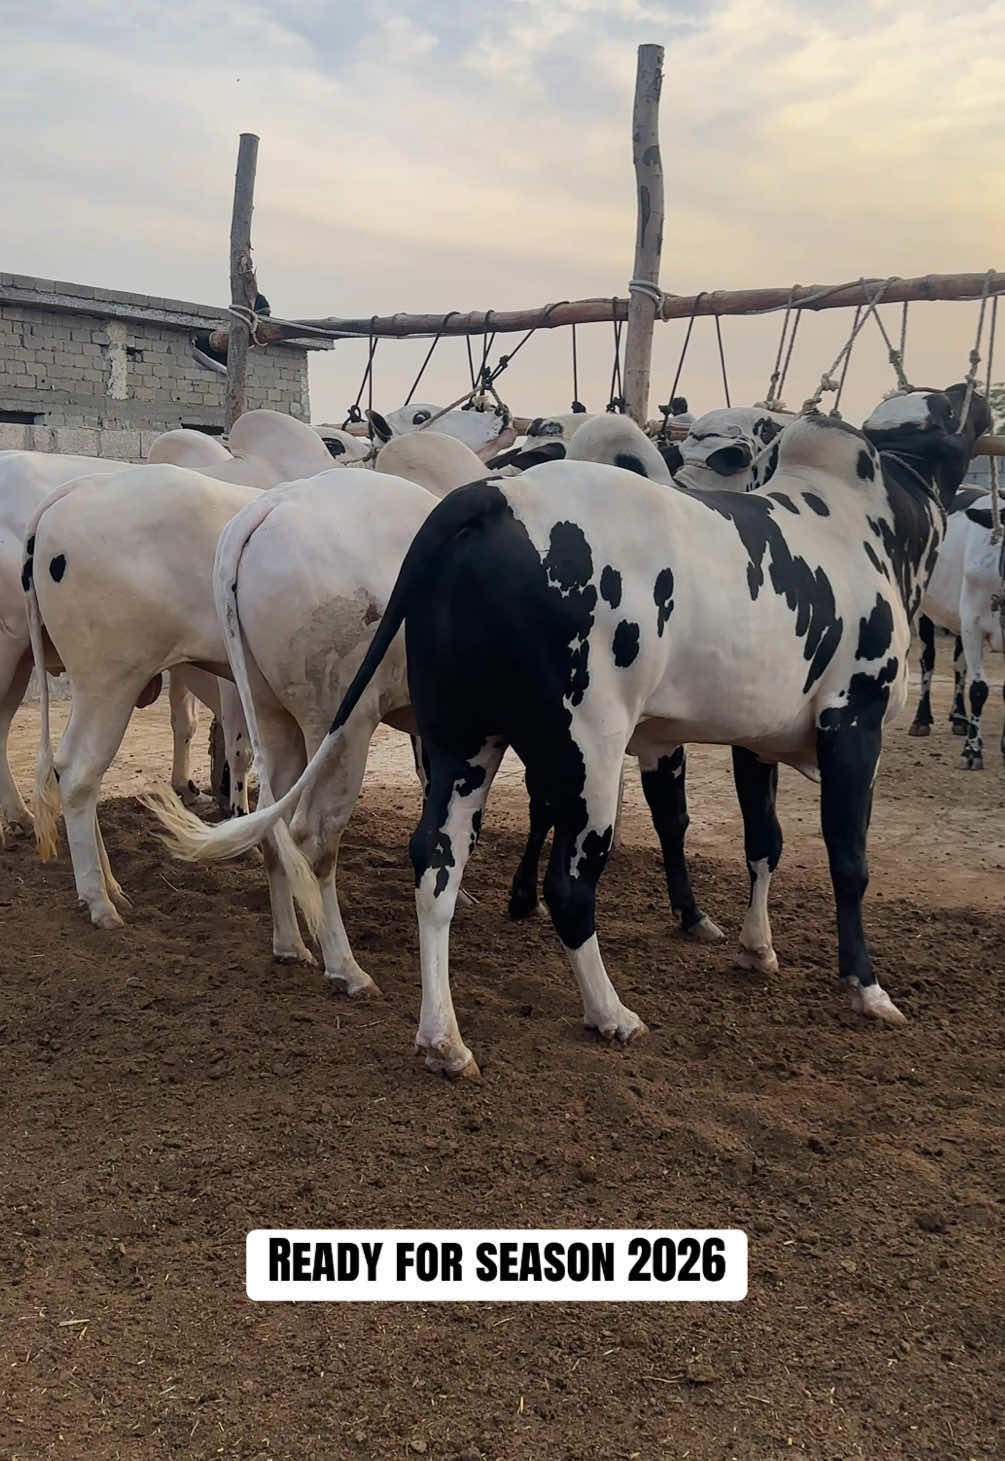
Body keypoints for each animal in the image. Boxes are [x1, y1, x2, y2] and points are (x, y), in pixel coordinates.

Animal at [142, 384, 985, 1076]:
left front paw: (756, 945)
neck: (859, 524)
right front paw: (864, 987)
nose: (972, 399)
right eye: (949, 414)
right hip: (532, 739)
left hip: (431, 733)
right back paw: (598, 1009)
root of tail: (481, 499)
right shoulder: (852, 725)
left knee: (415, 856)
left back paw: (431, 1030)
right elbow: (846, 861)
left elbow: (763, 842)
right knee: (550, 881)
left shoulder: (757, 737)